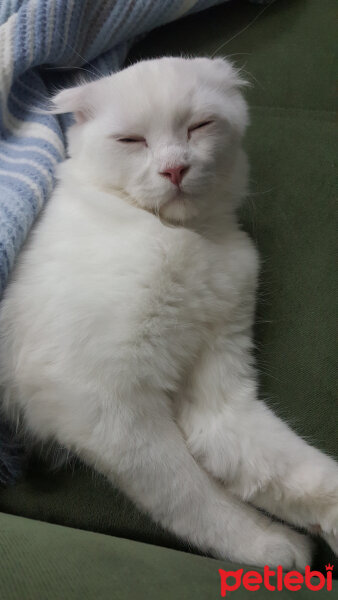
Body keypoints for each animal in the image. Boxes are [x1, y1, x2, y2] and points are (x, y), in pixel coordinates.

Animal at [0, 58, 338, 568]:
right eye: (130, 140)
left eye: (199, 126)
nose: (175, 167)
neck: (191, 237)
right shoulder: (99, 397)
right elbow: (190, 495)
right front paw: (270, 545)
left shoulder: (218, 394)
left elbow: (283, 467)